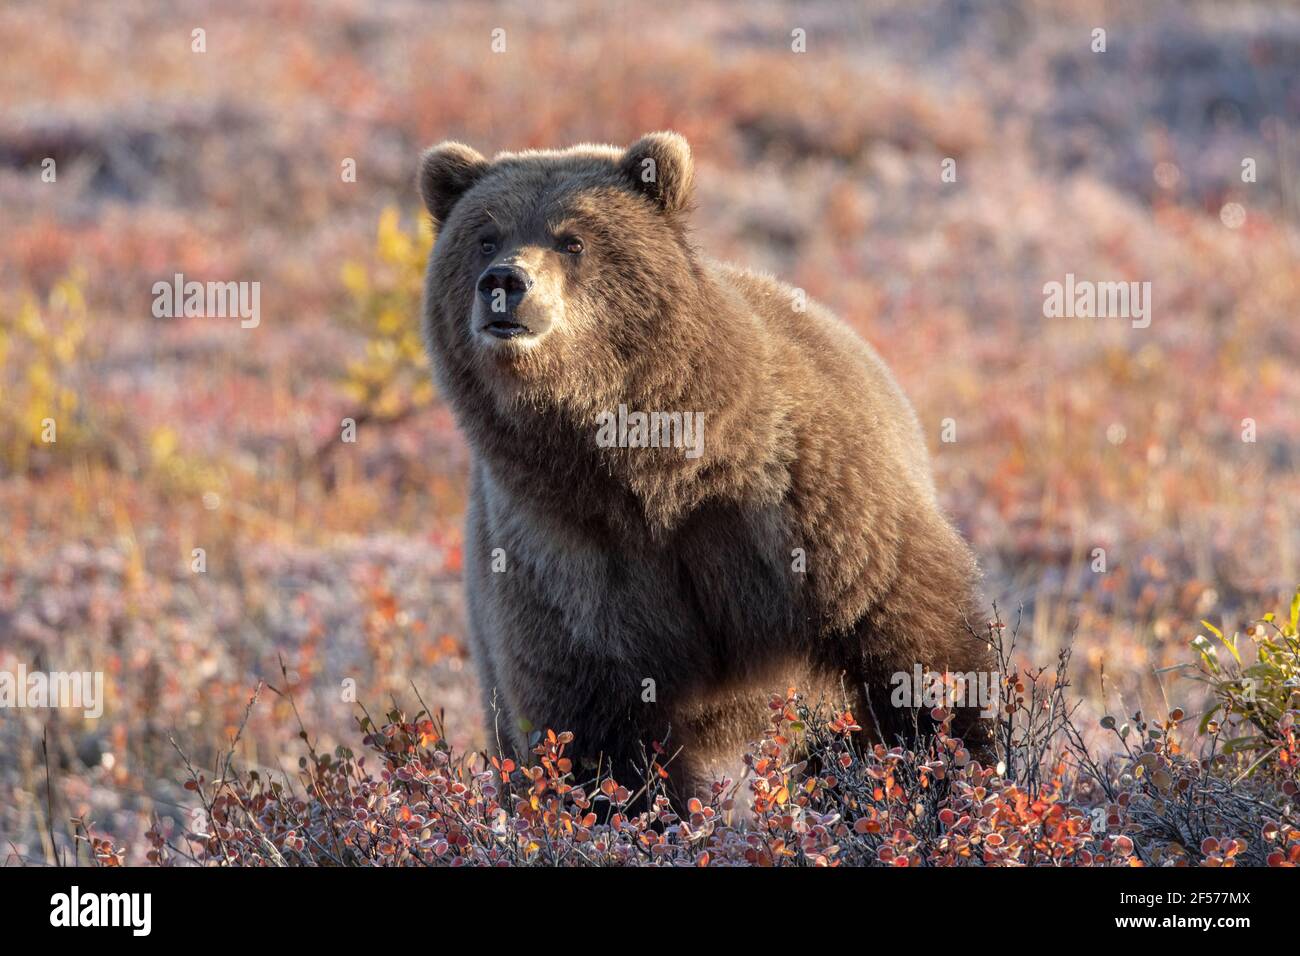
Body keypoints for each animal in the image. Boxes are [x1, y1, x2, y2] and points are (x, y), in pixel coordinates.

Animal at [417, 131, 993, 802]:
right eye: (485, 235)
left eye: (573, 239)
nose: (505, 281)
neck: (647, 470)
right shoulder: (563, 556)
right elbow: (593, 733)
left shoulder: (800, 502)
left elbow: (918, 648)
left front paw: (950, 768)